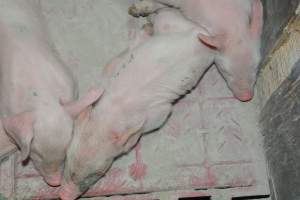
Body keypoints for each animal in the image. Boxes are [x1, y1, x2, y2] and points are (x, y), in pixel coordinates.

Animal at [58, 7, 240, 198]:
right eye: (67, 159)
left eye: (98, 173)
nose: (64, 195)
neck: (114, 110)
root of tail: (199, 35)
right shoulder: (107, 74)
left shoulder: (159, 112)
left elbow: (159, 117)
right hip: (171, 24)